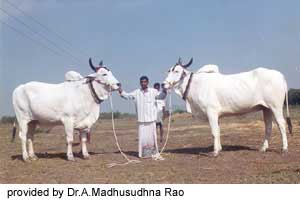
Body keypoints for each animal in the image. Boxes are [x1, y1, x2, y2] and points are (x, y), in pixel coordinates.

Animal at [164, 57, 292, 156]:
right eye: (169, 70)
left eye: (177, 71)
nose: (164, 84)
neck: (195, 85)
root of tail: (280, 75)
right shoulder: (216, 115)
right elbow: (218, 131)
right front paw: (219, 148)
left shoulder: (211, 112)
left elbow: (214, 132)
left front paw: (215, 152)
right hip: (266, 108)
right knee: (268, 126)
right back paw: (263, 148)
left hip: (275, 106)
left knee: (281, 124)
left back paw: (284, 148)